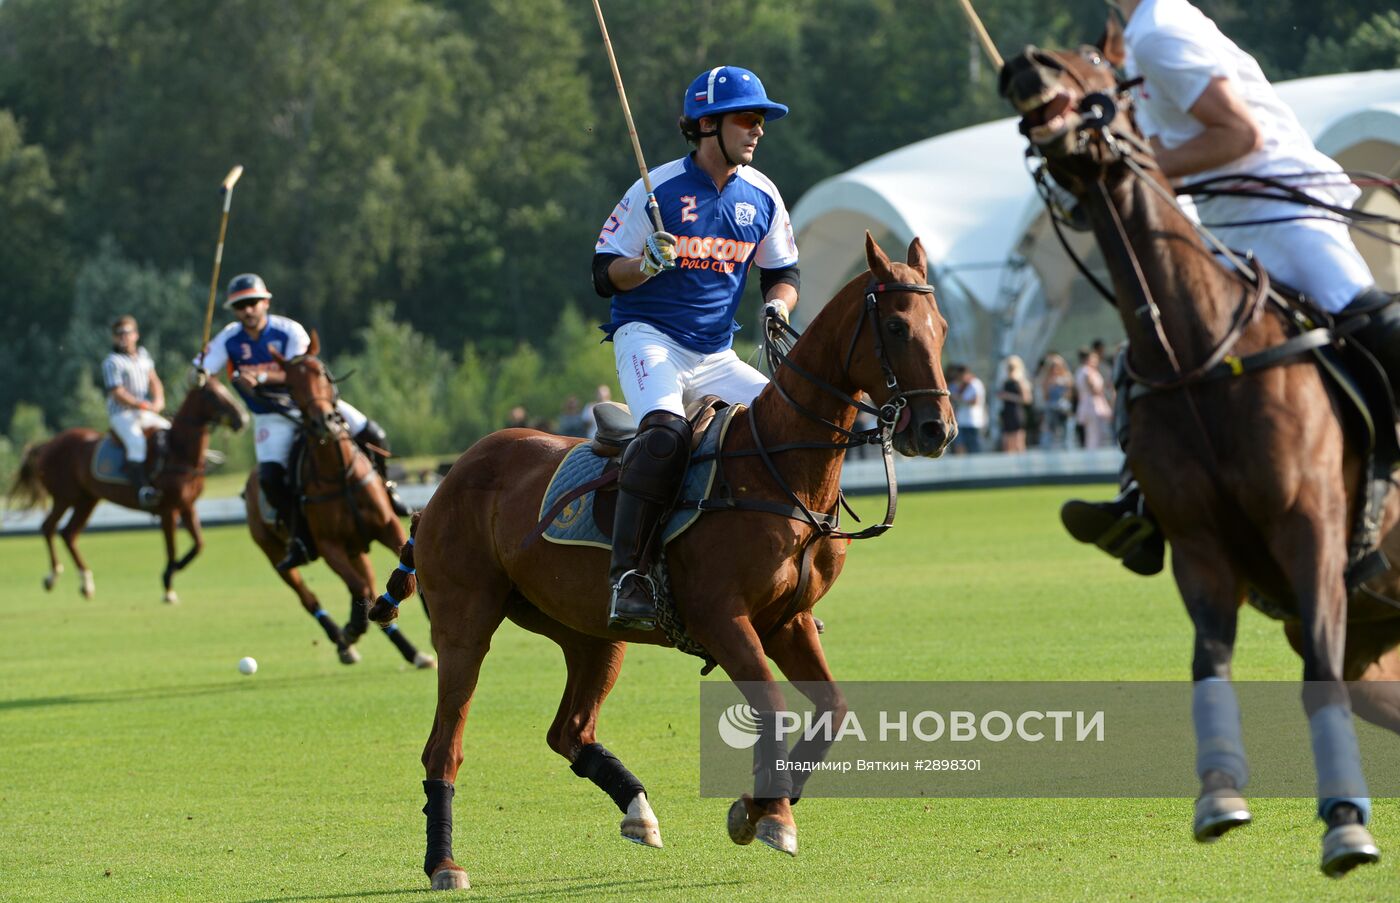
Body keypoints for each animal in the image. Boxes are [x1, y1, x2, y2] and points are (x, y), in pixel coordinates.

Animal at [8, 372, 246, 599]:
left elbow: (198, 545)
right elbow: (171, 548)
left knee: (68, 533)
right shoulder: (168, 509)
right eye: (212, 395)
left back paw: (86, 583)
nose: (242, 418)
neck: (179, 453)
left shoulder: (187, 506)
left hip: (87, 499)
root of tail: (46, 444)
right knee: (49, 527)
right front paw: (168, 585)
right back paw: (53, 576)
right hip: (65, 497)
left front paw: (173, 571)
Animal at [243, 333, 434, 669]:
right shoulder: (328, 545)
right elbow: (360, 589)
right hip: (275, 553)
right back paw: (344, 638)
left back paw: (410, 652)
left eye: (322, 373)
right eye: (290, 385)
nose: (325, 423)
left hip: (356, 548)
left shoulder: (387, 526)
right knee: (312, 597)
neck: (340, 474)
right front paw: (353, 628)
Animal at [372, 232, 957, 884]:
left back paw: (638, 810)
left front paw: (760, 808)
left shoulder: (789, 621)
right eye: (898, 327)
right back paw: (444, 862)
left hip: (590, 633)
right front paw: (769, 816)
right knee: (444, 745)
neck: (783, 473)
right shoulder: (722, 616)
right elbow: (773, 704)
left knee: (569, 730)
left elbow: (833, 708)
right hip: (465, 622)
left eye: (941, 328)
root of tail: (442, 485)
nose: (936, 430)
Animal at [1002, 33, 1400, 873]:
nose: (1023, 63)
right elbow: (1207, 664)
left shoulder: (1312, 529)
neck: (1198, 348)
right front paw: (1218, 796)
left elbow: (1315, 674)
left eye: (1096, 61)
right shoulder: (1200, 546)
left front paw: (1347, 823)